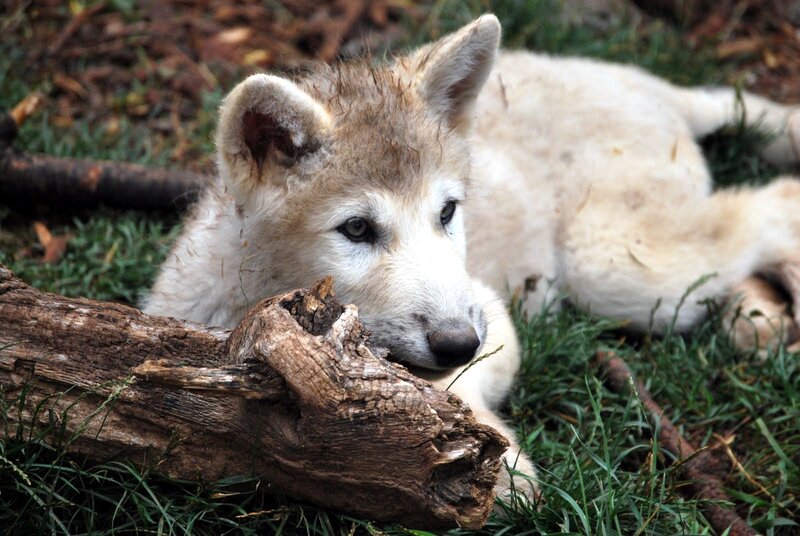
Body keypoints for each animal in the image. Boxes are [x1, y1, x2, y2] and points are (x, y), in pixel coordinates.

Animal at [144, 15, 800, 502]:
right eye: (356, 229)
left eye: (447, 212)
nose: (459, 343)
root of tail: (648, 86)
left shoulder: (494, 318)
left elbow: (460, 406)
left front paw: (497, 470)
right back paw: (761, 324)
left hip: (615, 263)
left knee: (771, 204)